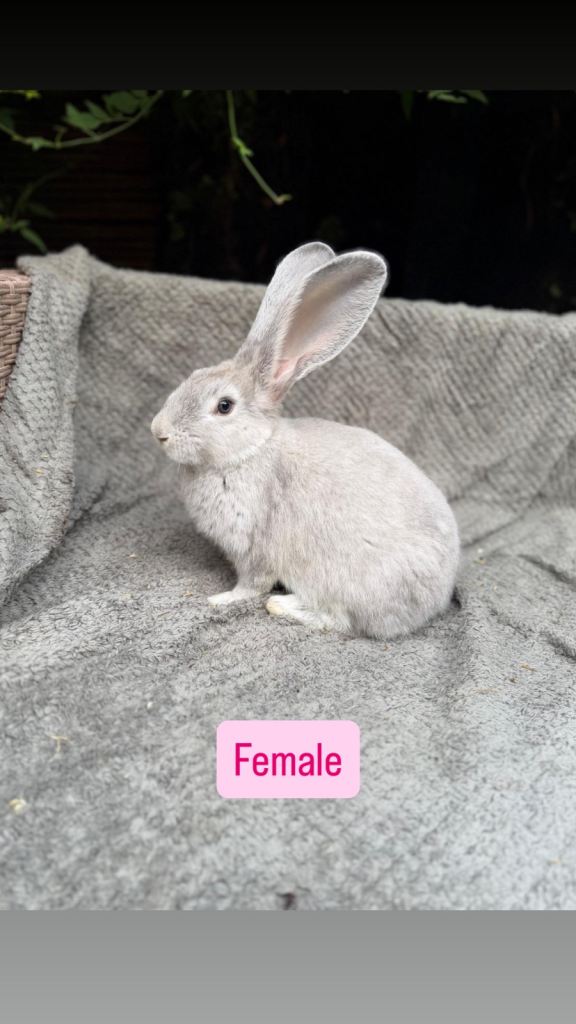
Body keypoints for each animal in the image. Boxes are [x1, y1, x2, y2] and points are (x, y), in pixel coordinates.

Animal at [151, 242, 459, 639]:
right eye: (194, 374)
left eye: (224, 406)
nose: (159, 431)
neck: (250, 451)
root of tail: (438, 598)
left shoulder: (255, 549)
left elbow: (251, 585)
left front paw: (221, 600)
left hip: (347, 581)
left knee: (339, 619)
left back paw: (283, 605)